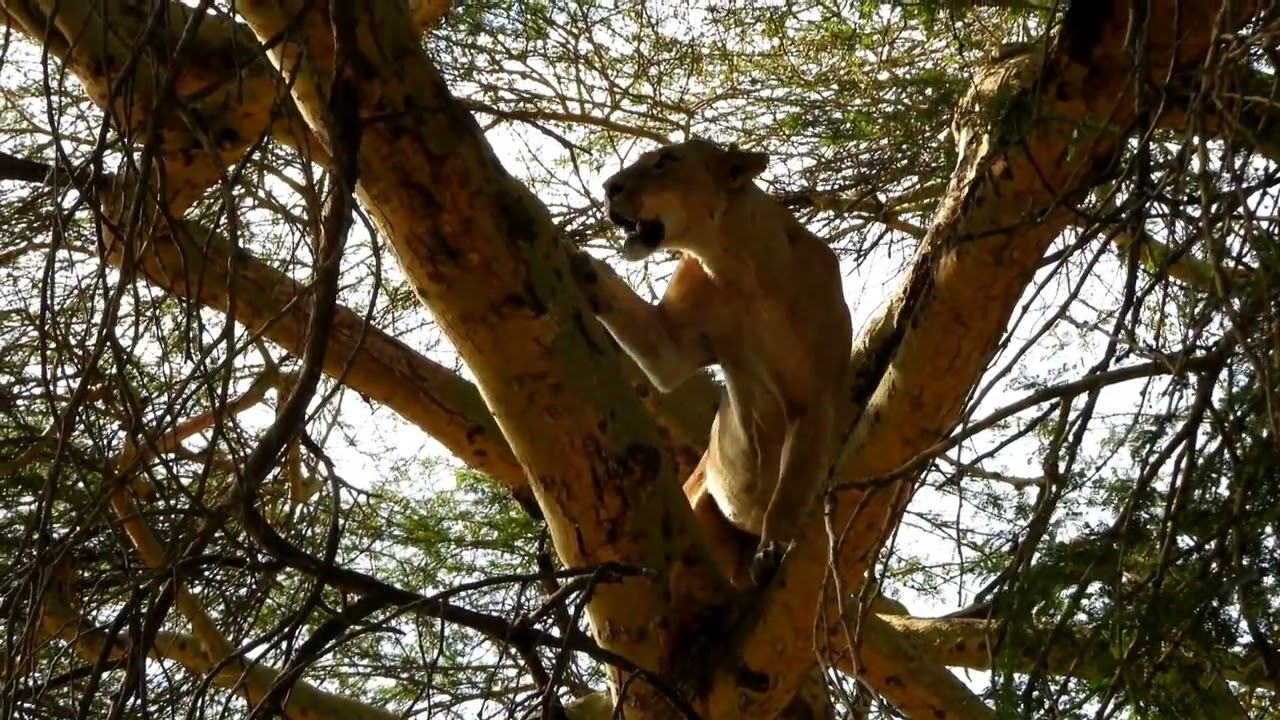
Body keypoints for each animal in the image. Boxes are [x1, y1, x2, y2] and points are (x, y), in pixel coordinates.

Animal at [570, 138, 852, 586]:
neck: (737, 267)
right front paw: (579, 260)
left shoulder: (814, 399)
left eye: (666, 161)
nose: (608, 187)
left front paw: (773, 548)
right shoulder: (671, 348)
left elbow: (790, 490)